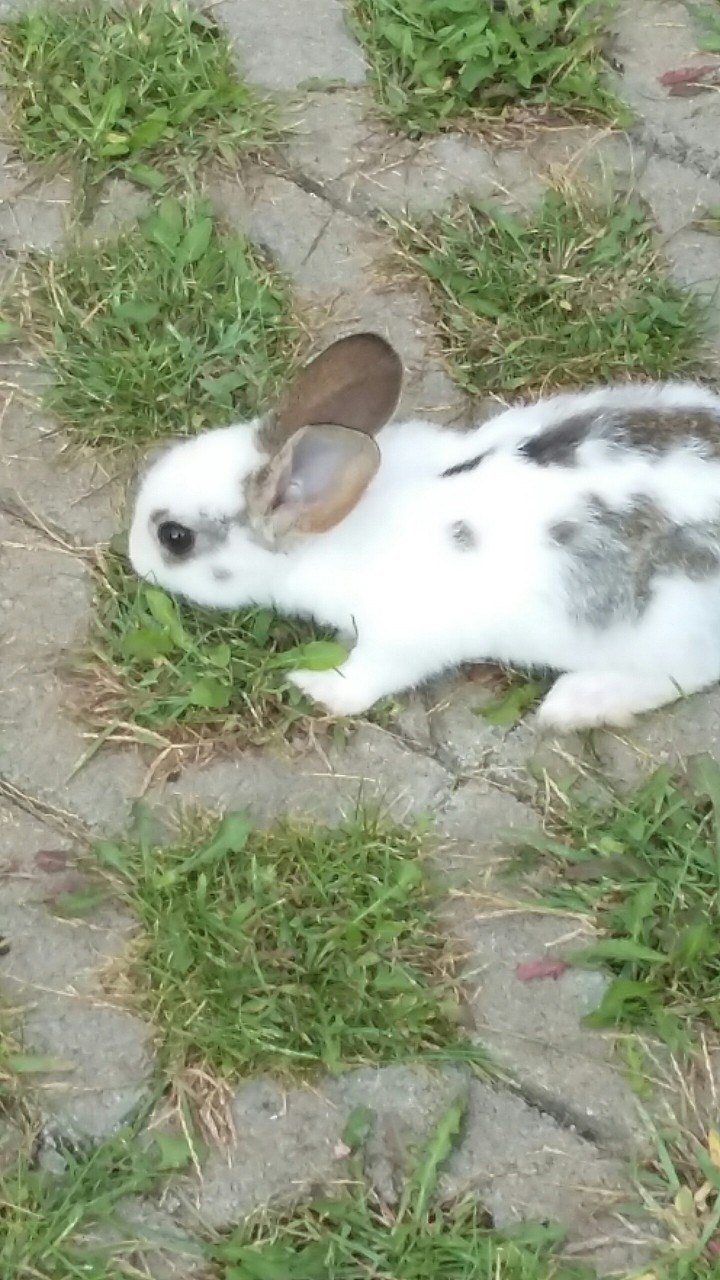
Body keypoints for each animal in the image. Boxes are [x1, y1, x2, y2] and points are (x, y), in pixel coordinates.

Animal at [128, 332, 720, 731]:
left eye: (175, 537)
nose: (133, 557)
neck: (340, 527)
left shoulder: (400, 641)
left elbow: (364, 679)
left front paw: (314, 686)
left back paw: (574, 703)